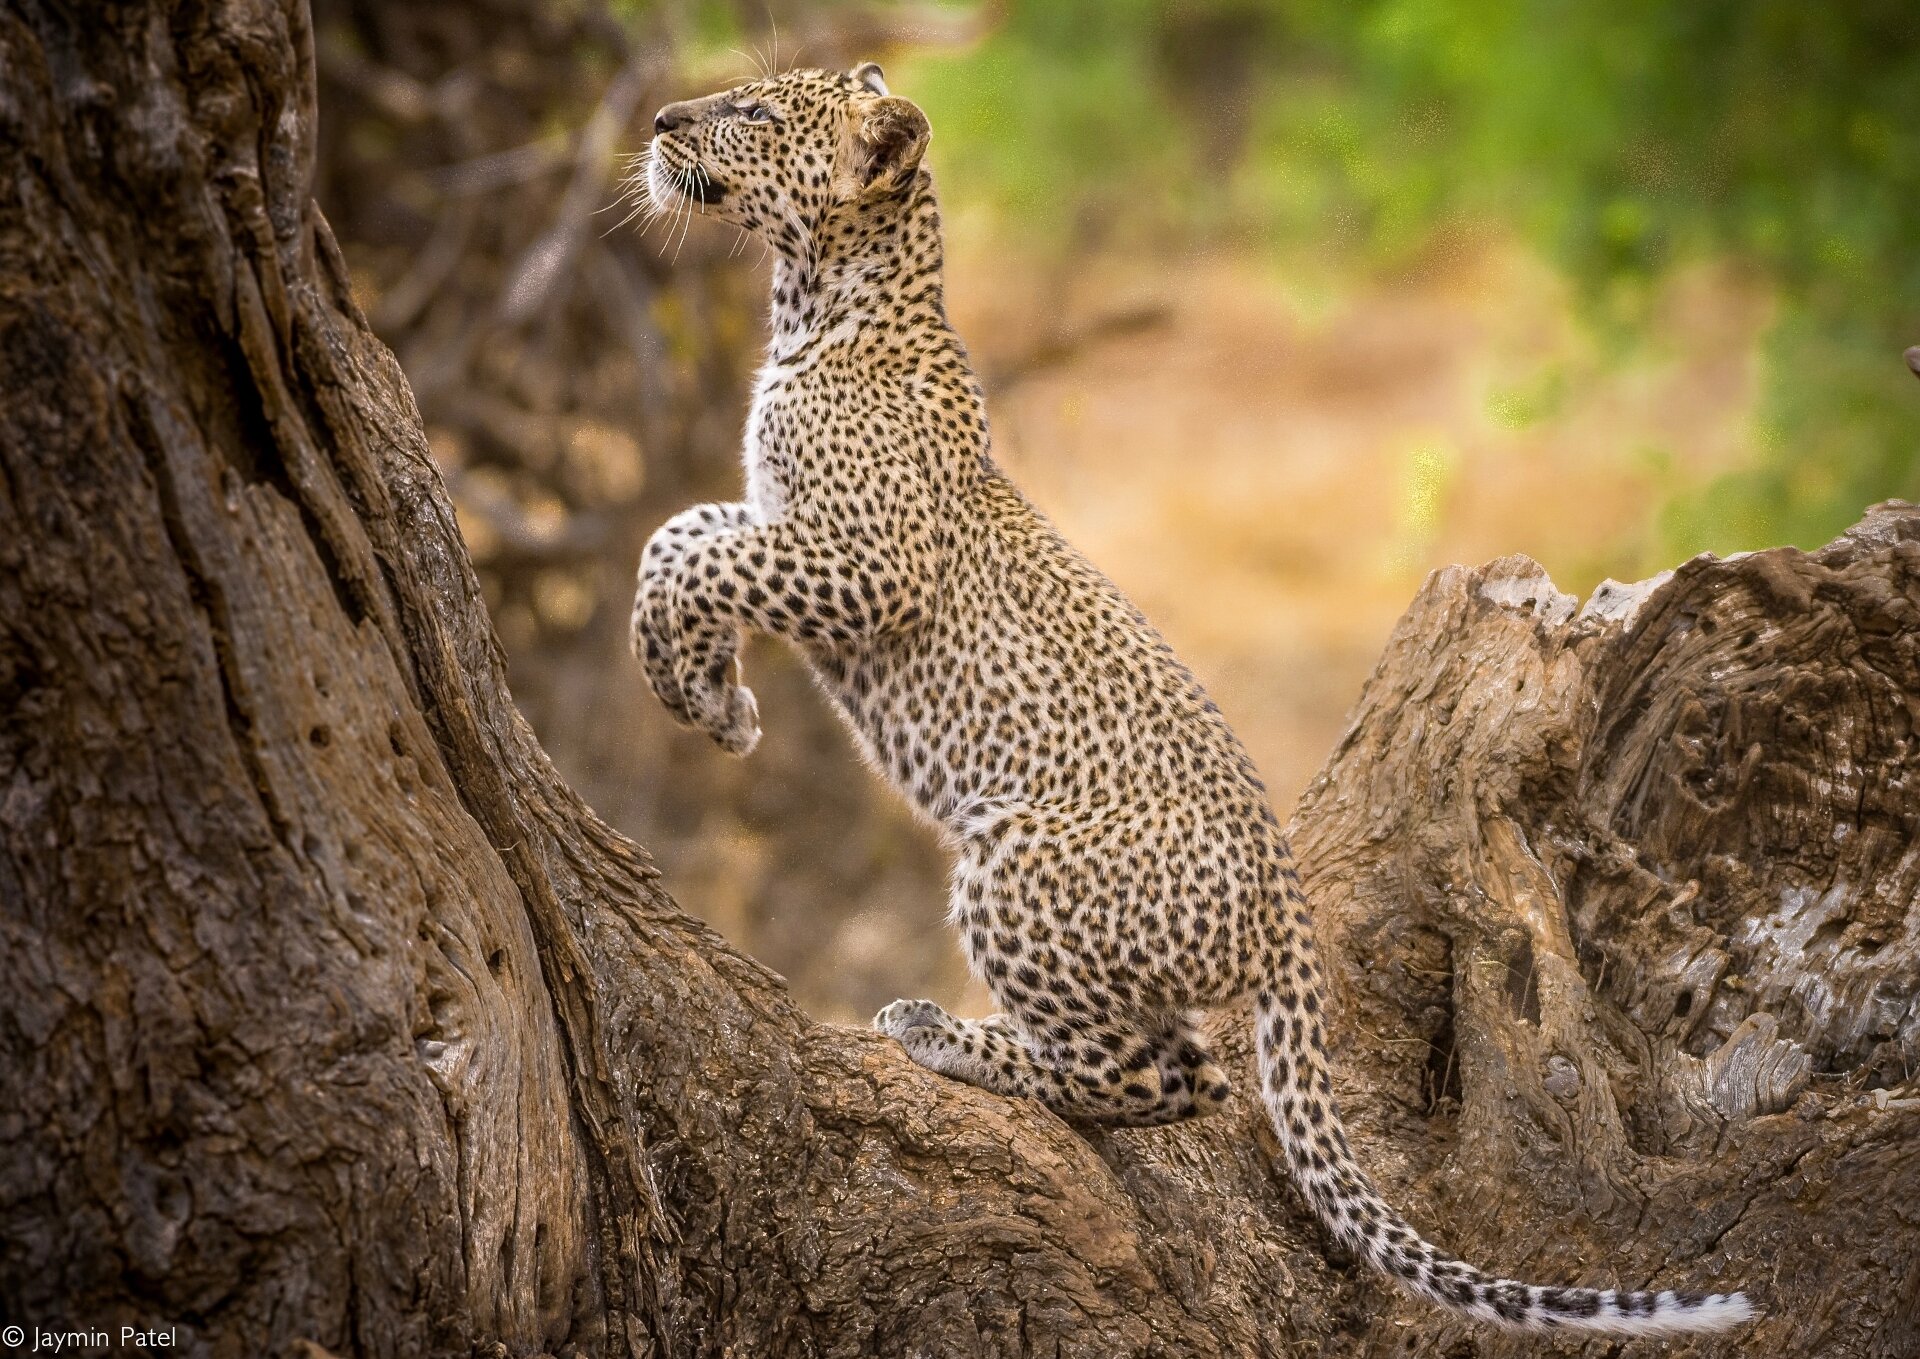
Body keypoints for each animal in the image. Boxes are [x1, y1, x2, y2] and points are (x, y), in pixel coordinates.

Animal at [628, 61, 1753, 1337]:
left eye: (759, 115)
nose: (664, 120)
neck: (817, 302)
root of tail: (1285, 912)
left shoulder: (868, 565)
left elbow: (685, 552)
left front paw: (701, 695)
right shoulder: (786, 526)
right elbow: (687, 530)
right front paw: (716, 699)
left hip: (1017, 858)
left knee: (1152, 1073)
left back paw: (946, 1036)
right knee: (1186, 1072)